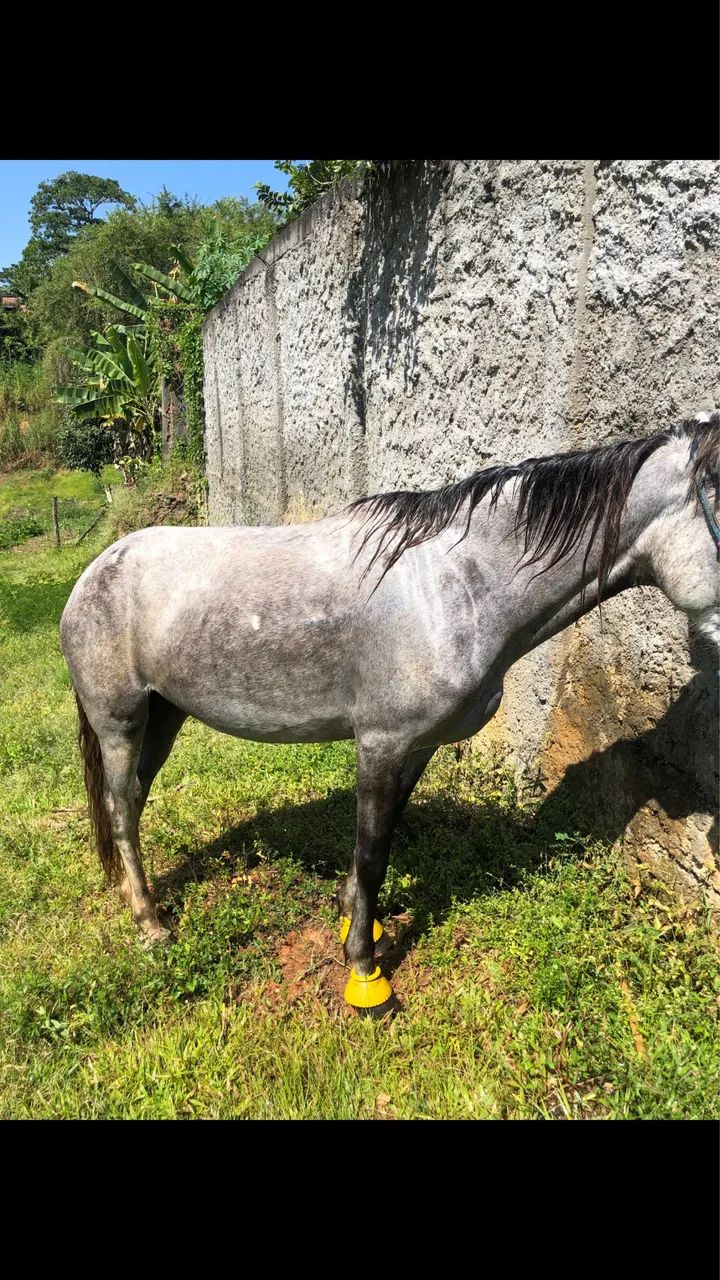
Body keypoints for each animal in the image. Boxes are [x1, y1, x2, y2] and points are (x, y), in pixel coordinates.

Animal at [60, 412, 719, 1014]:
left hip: (164, 717)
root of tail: (95, 571)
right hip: (121, 722)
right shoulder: (380, 742)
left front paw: (359, 918)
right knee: (121, 808)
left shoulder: (416, 746)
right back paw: (151, 924)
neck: (458, 588)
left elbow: (383, 838)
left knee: (135, 799)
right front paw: (365, 972)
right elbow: (373, 852)